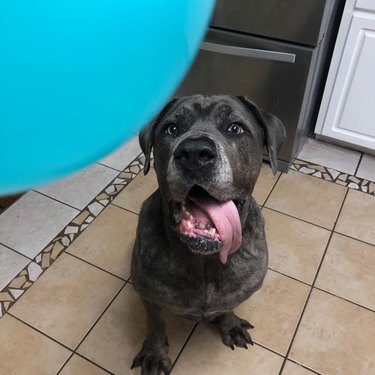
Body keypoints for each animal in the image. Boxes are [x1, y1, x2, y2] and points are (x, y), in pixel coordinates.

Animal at [129, 95, 284, 374]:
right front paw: (155, 354)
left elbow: (230, 304)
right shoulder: (147, 294)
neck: (204, 260)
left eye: (235, 128)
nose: (194, 152)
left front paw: (230, 325)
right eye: (171, 128)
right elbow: (155, 323)